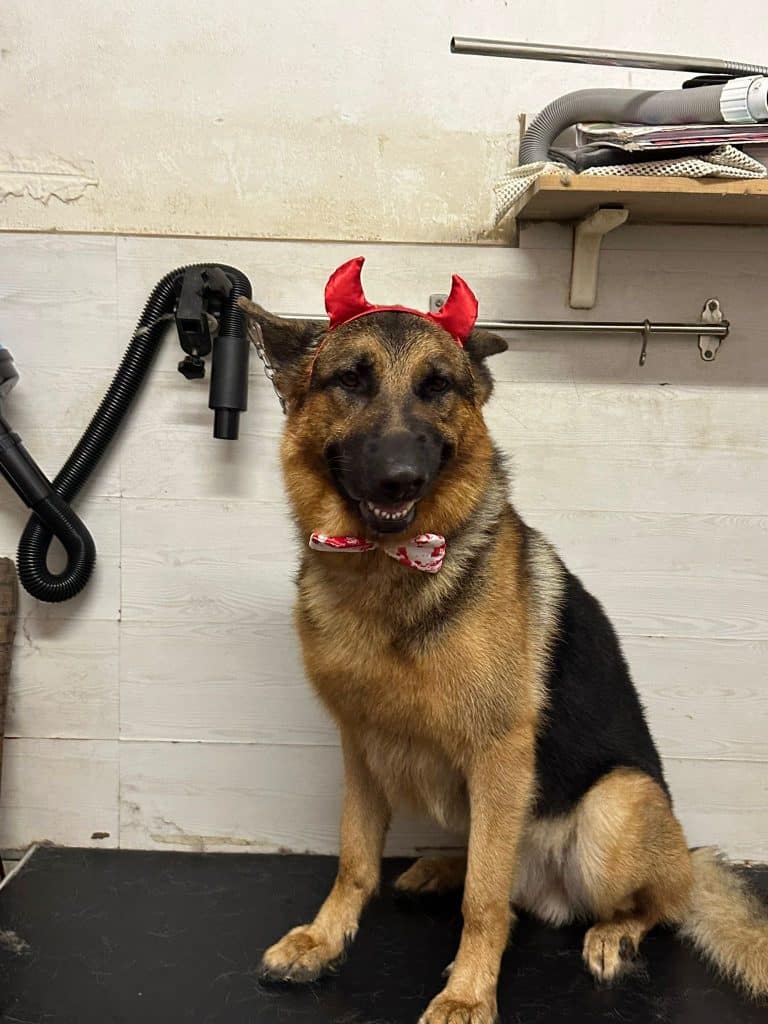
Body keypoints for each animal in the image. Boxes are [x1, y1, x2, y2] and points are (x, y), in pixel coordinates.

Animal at [239, 258, 768, 1023]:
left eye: (436, 387)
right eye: (351, 381)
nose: (400, 478)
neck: (387, 569)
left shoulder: (498, 755)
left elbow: (484, 903)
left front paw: (466, 993)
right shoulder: (360, 747)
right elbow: (355, 859)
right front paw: (324, 937)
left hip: (613, 807)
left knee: (647, 902)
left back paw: (613, 932)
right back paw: (439, 866)